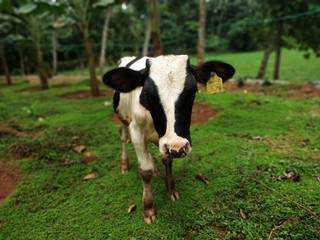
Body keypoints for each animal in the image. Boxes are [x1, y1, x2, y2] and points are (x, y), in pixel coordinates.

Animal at [103, 54, 235, 223]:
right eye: (148, 95)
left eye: (193, 92)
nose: (178, 147)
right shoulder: (137, 131)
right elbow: (145, 170)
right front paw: (148, 208)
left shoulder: (168, 144)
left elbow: (167, 161)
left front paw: (171, 189)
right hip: (123, 120)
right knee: (123, 136)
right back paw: (125, 164)